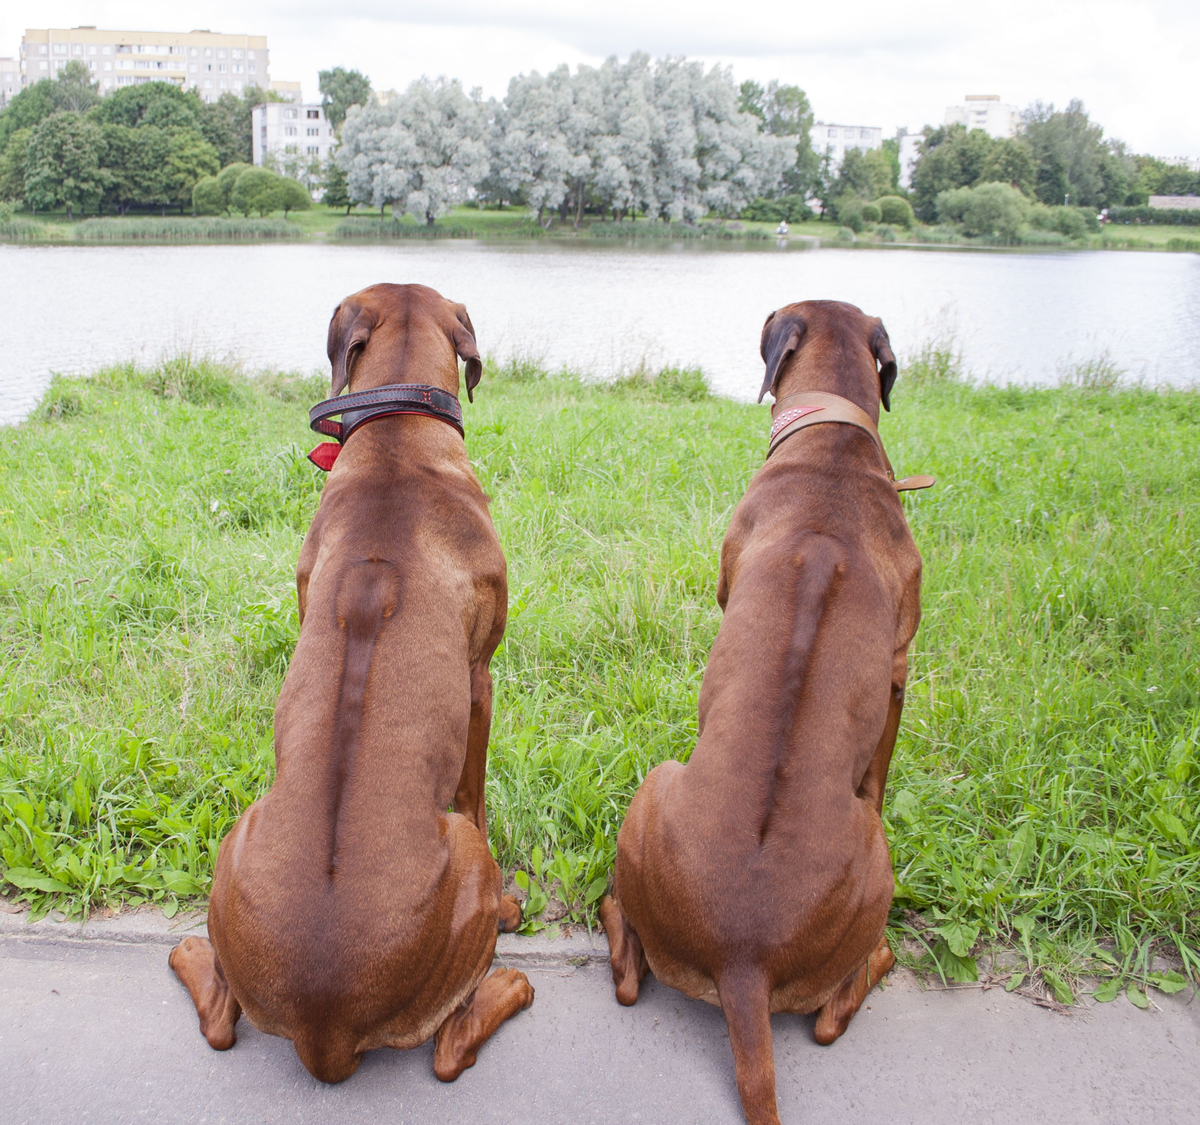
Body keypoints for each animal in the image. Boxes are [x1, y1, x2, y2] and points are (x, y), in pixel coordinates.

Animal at [166, 280, 532, 1079]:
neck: (398, 435)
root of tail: (325, 1023)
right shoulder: (480, 678)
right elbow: (475, 787)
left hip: (238, 835)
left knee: (221, 1019)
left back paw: (188, 953)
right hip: (461, 859)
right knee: (448, 1049)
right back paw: (511, 972)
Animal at [600, 299, 926, 1122]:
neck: (835, 449)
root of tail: (745, 959)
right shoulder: (901, 666)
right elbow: (879, 769)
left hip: (657, 788)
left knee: (632, 974)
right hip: (857, 850)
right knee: (834, 1008)